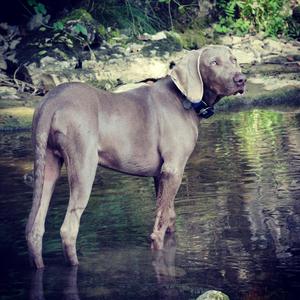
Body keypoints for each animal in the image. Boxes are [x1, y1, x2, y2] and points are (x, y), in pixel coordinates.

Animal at [25, 44, 246, 268]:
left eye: (234, 59)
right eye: (213, 63)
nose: (241, 79)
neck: (184, 100)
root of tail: (51, 100)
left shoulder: (160, 175)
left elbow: (168, 215)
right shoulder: (173, 169)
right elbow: (160, 226)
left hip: (48, 166)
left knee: (35, 229)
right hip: (83, 166)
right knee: (68, 230)